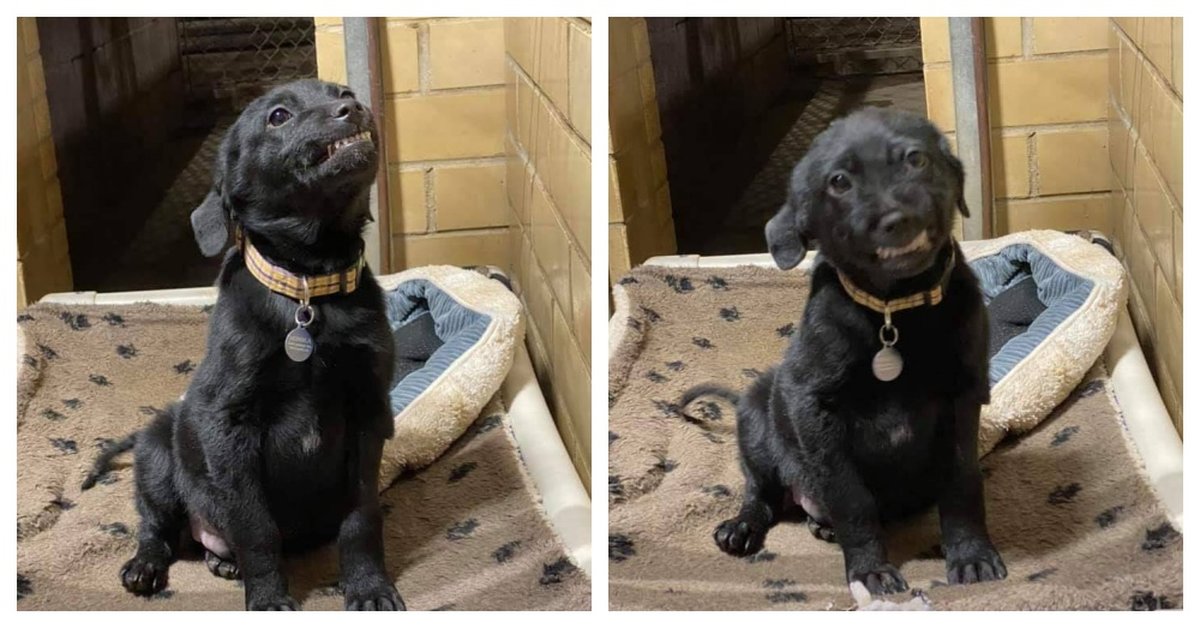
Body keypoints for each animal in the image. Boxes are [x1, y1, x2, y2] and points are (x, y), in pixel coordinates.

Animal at [84, 77, 405, 609]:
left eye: (342, 91)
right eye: (278, 116)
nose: (354, 108)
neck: (307, 288)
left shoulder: (368, 412)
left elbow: (362, 517)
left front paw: (369, 588)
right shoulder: (230, 426)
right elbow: (255, 527)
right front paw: (270, 600)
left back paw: (222, 562)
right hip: (157, 452)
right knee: (157, 527)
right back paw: (146, 567)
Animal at [686, 106, 1003, 595]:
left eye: (915, 159)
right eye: (838, 182)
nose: (896, 219)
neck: (893, 312)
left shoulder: (963, 397)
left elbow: (962, 483)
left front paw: (972, 556)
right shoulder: (814, 408)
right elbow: (851, 499)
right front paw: (870, 572)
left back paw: (822, 526)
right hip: (757, 415)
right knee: (761, 495)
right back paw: (742, 527)